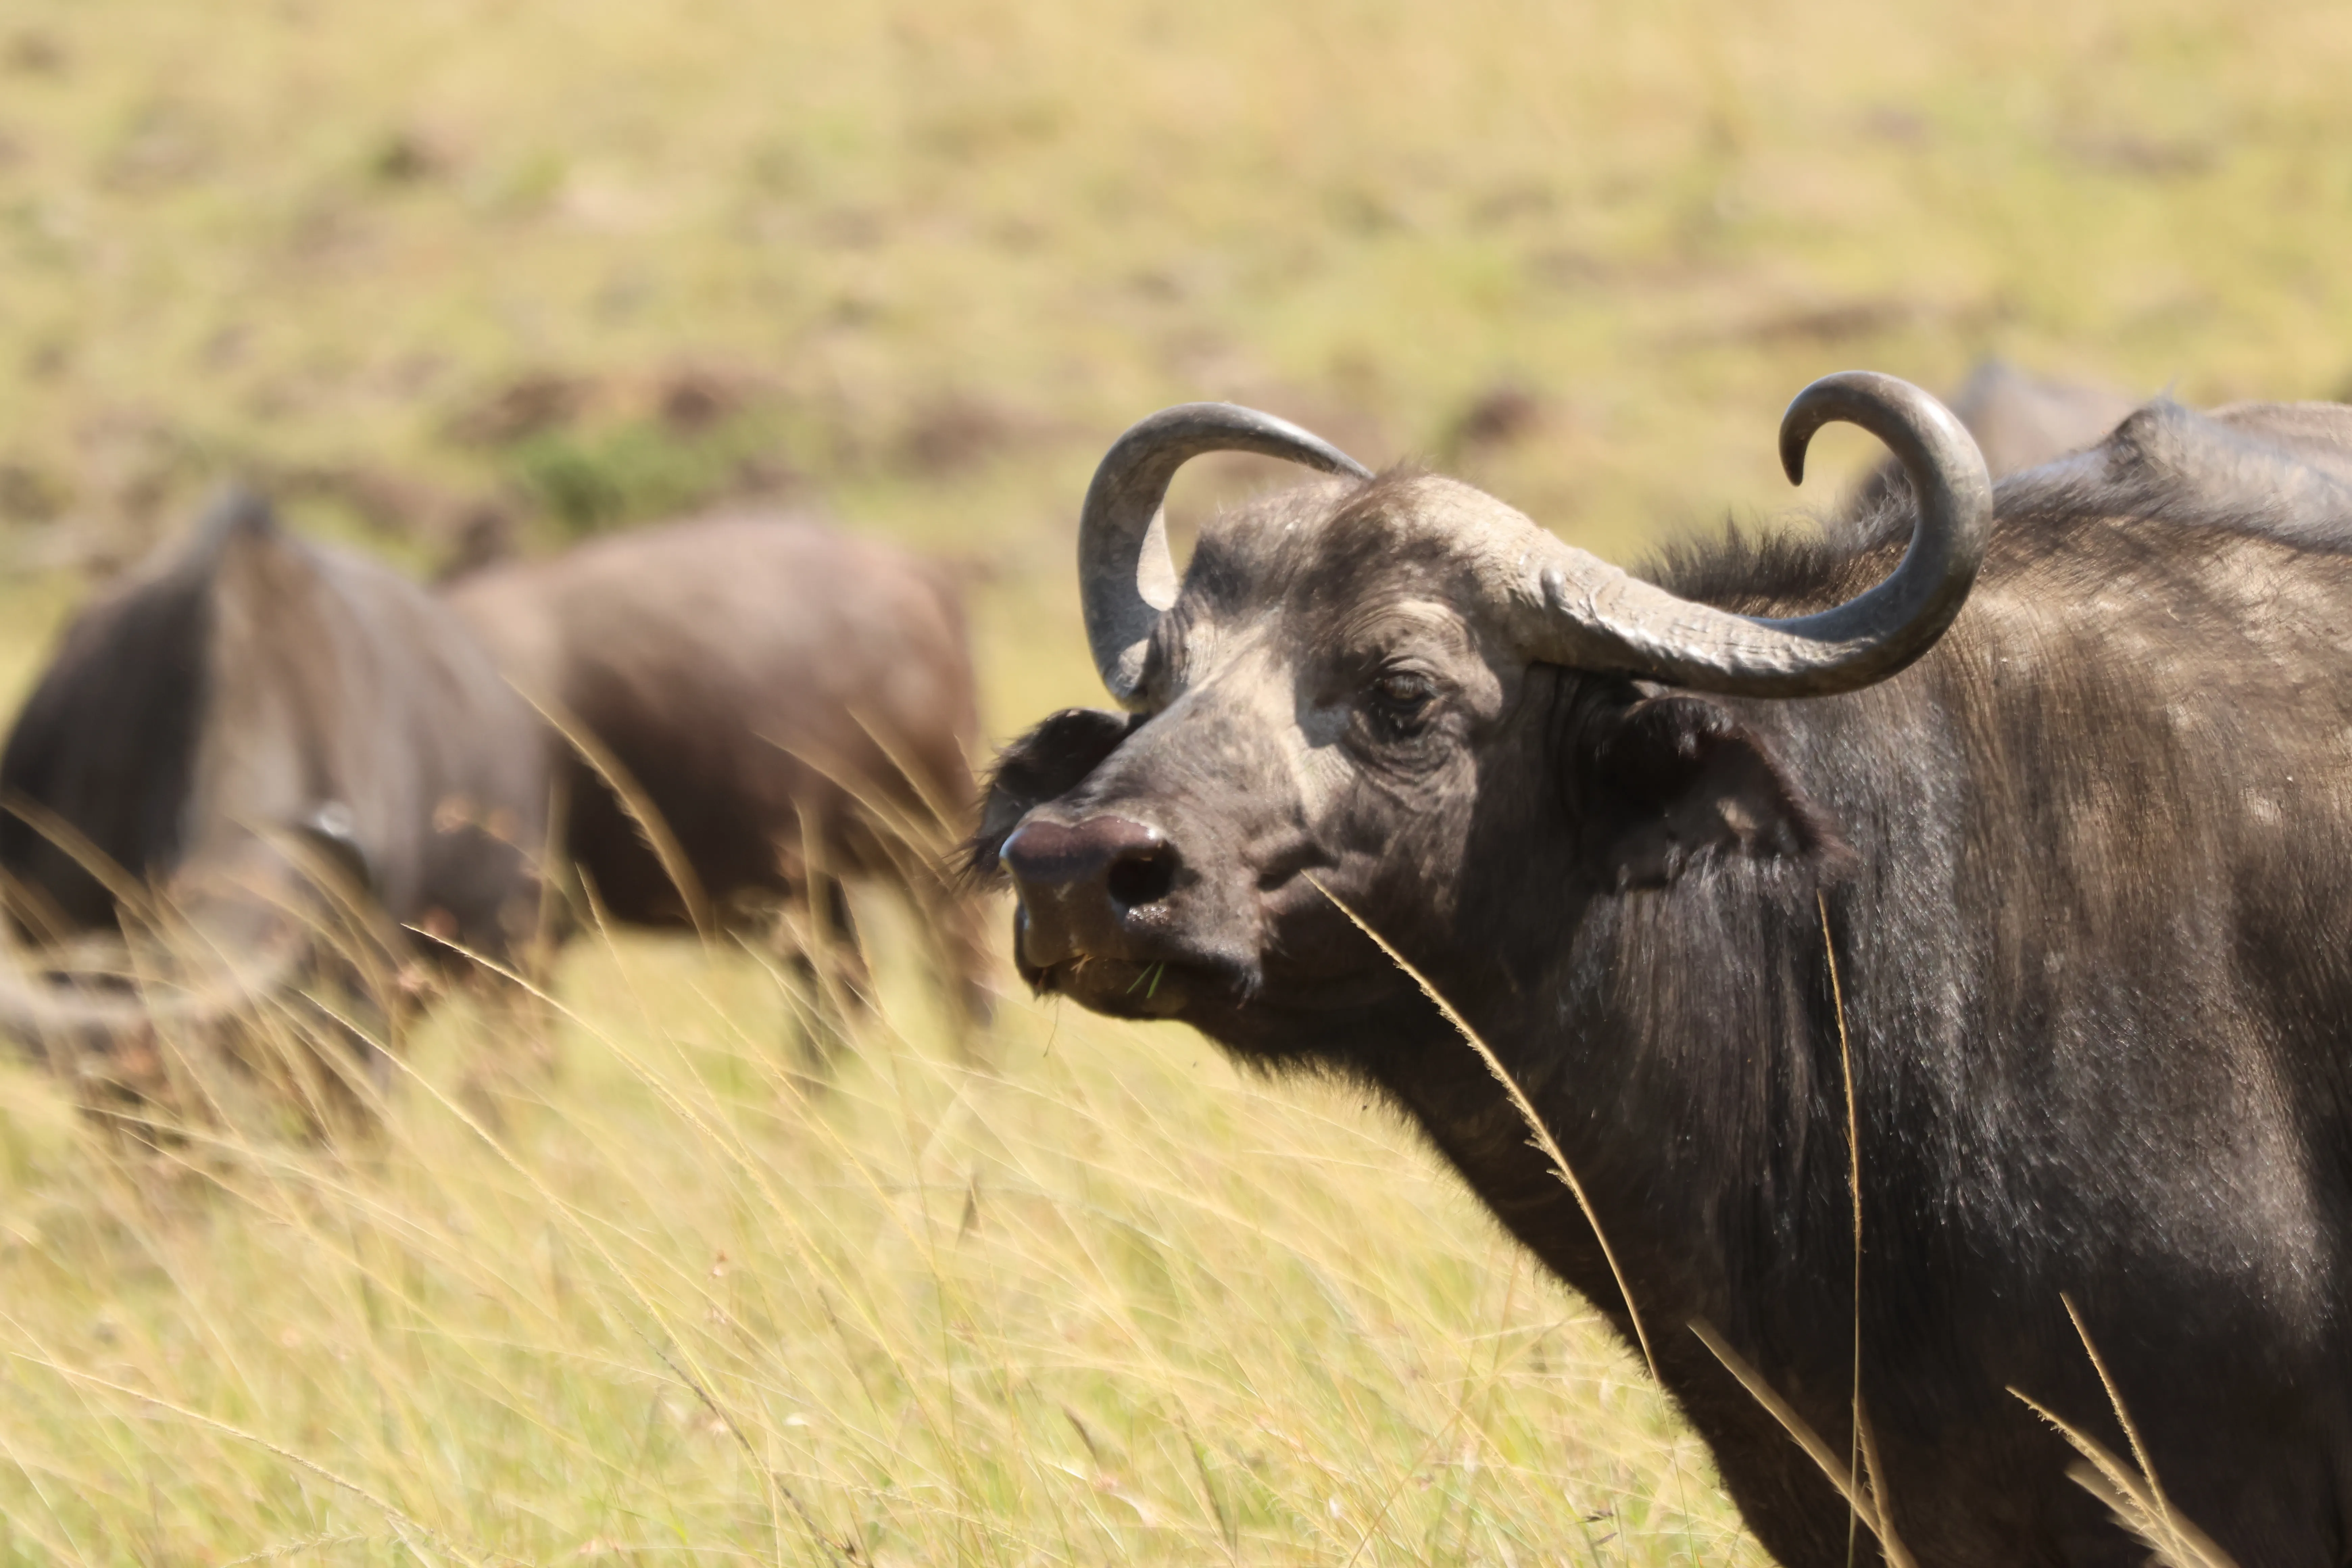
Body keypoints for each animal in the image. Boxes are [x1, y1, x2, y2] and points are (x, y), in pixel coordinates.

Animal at [442, 512, 993, 1029]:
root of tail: (921, 579)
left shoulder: (522, 942)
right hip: (821, 884)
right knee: (843, 992)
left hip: (926, 857)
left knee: (958, 979)